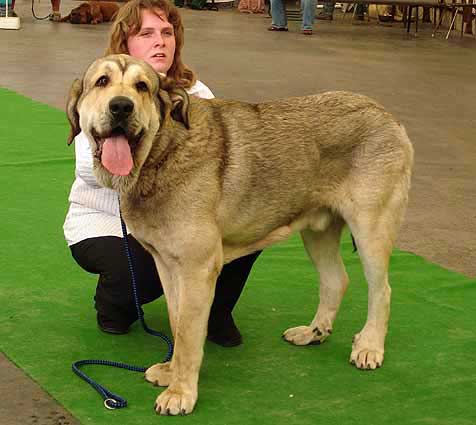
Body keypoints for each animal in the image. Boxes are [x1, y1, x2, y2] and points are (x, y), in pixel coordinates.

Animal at [66, 53, 412, 414]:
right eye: (102, 82)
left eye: (142, 86)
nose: (121, 106)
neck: (163, 152)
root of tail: (388, 116)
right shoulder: (168, 265)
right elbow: (177, 321)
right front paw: (171, 372)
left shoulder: (197, 268)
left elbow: (188, 334)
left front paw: (181, 392)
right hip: (318, 232)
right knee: (336, 280)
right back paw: (313, 332)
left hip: (372, 228)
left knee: (381, 290)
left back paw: (369, 346)